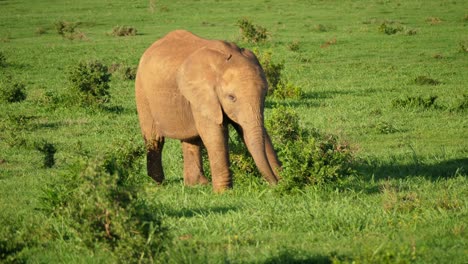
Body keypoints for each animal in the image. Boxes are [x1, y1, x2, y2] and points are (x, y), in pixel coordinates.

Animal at [135, 29, 282, 192]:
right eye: (231, 97)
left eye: (265, 94)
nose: (275, 184)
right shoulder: (204, 95)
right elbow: (214, 135)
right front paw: (223, 193)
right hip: (142, 92)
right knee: (154, 138)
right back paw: (157, 184)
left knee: (191, 139)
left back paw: (197, 184)